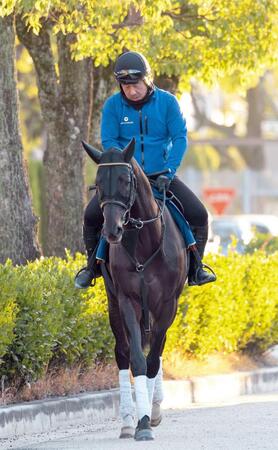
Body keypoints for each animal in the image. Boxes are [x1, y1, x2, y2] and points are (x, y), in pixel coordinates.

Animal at [82, 137, 187, 440]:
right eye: (98, 182)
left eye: (124, 179)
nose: (112, 230)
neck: (144, 239)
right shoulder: (128, 300)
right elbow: (138, 360)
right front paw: (141, 422)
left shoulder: (167, 305)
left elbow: (153, 359)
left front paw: (150, 414)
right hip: (115, 303)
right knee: (123, 352)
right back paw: (129, 420)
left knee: (158, 349)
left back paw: (156, 406)